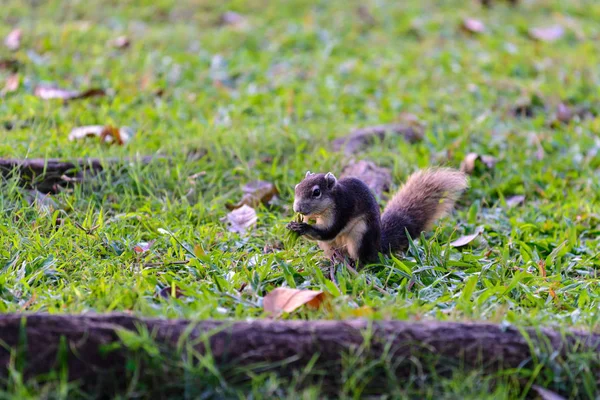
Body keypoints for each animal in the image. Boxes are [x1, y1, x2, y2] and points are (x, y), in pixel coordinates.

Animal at [286, 167, 468, 264]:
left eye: (316, 192)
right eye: (297, 187)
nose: (297, 208)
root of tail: (377, 245)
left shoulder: (343, 209)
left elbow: (329, 232)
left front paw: (302, 227)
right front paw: (293, 225)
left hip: (359, 235)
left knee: (364, 259)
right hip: (330, 246)